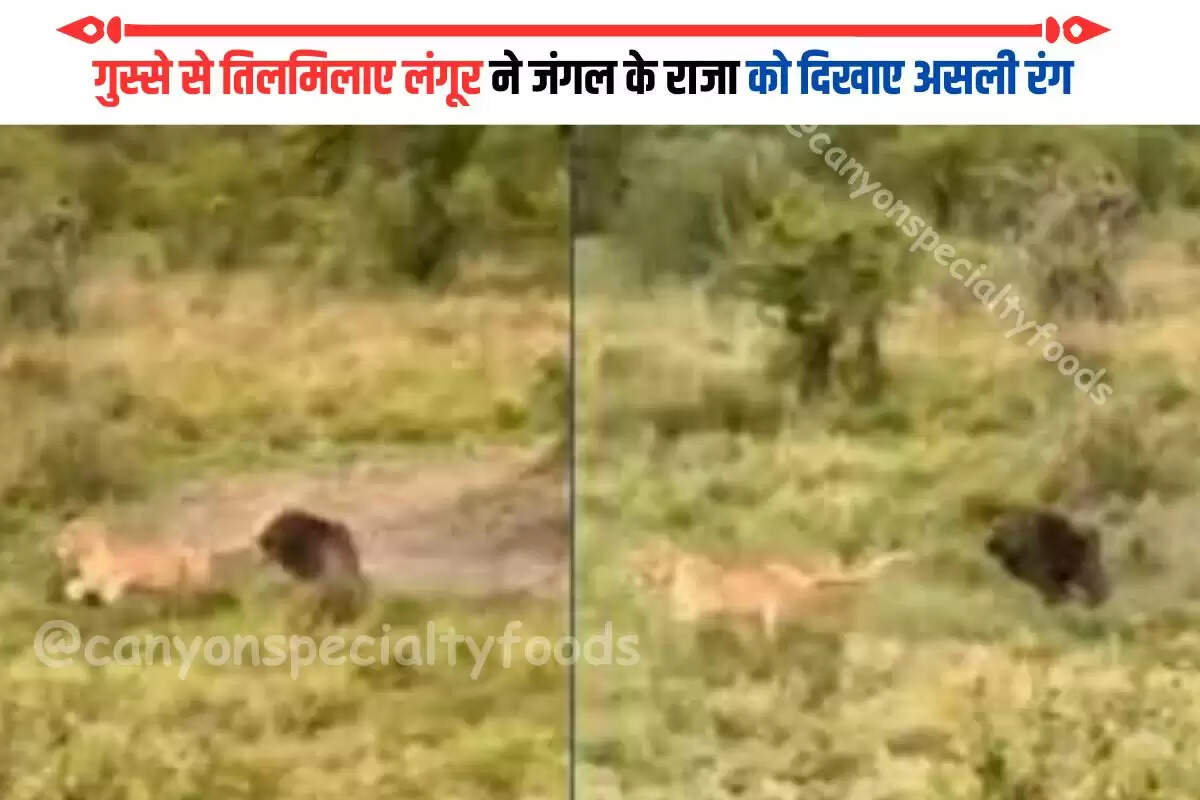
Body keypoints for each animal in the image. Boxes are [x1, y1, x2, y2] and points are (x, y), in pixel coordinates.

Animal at [628, 537, 914, 639]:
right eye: (640, 561)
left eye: (651, 560)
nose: (640, 575)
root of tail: (805, 580)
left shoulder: (710, 605)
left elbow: (681, 617)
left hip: (779, 606)